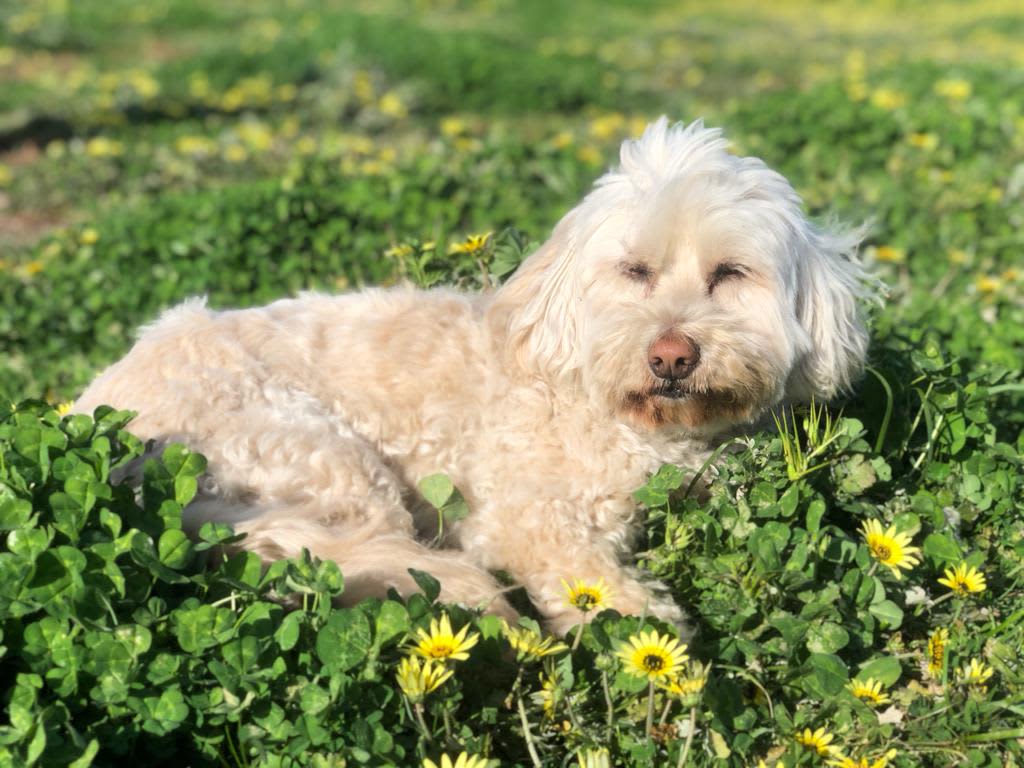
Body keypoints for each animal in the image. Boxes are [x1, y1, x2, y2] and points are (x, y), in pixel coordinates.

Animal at [74, 118, 872, 638]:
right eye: (635, 271)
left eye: (729, 274)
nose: (672, 355)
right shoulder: (523, 513)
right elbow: (588, 579)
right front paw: (645, 630)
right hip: (321, 457)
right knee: (357, 560)